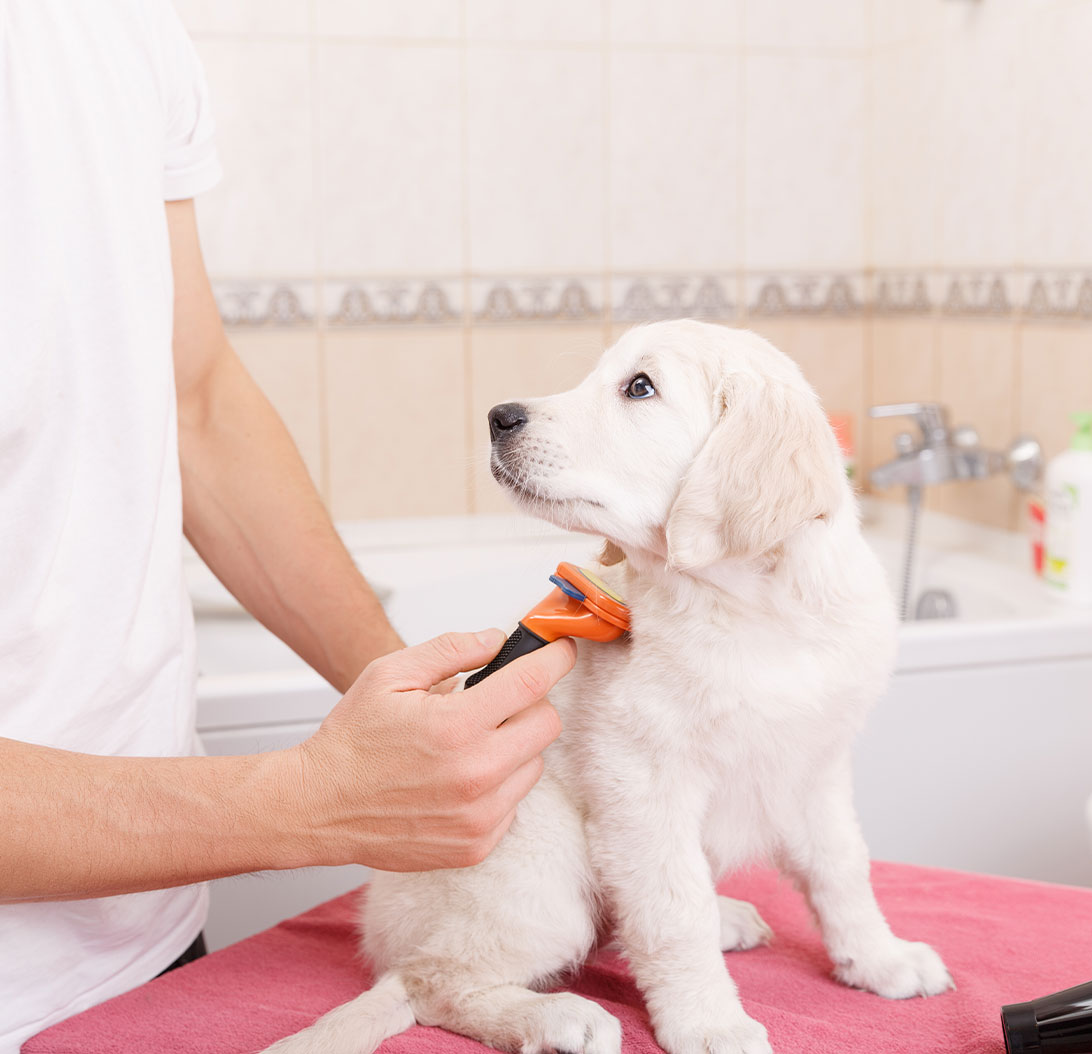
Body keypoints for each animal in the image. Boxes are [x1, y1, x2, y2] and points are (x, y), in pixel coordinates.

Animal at [262, 318, 947, 1052]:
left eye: (639, 387)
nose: (498, 417)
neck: (748, 611)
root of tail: (381, 938)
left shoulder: (815, 767)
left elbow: (842, 868)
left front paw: (880, 959)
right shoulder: (643, 786)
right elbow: (675, 913)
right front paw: (709, 1021)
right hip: (539, 866)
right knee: (430, 981)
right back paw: (555, 1016)